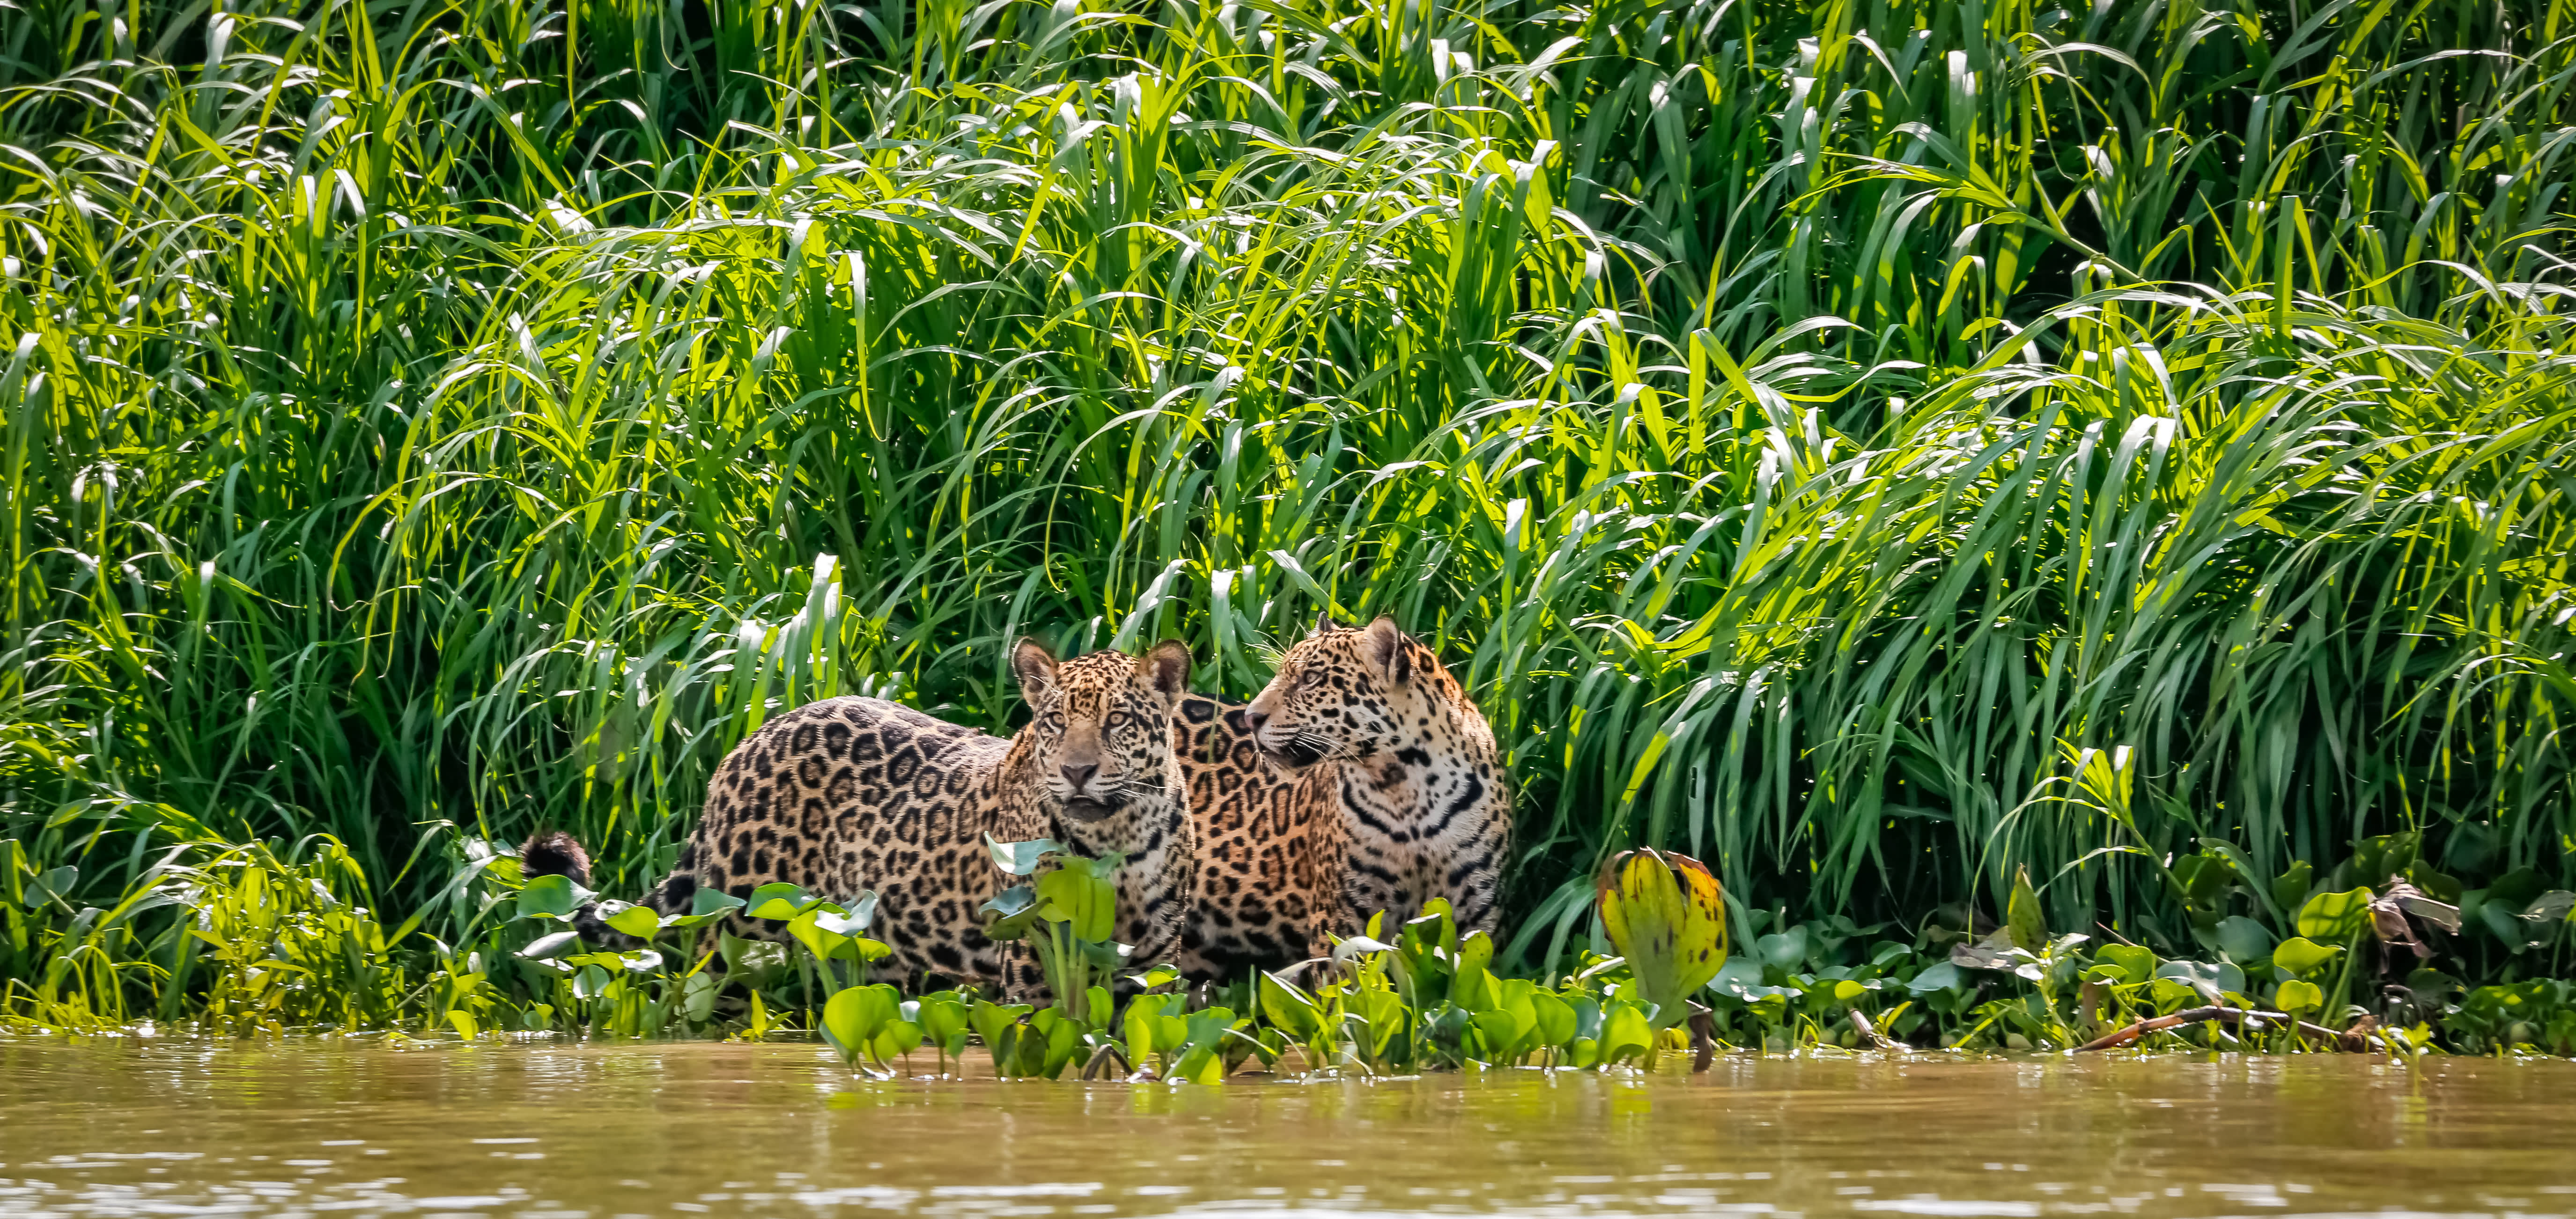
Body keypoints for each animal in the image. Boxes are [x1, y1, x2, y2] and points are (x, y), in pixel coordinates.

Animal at [521, 639, 1197, 996]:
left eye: (1117, 721)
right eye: (1056, 720)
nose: (1077, 771)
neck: (1115, 839)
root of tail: (750, 739)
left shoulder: (1155, 958)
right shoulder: (1035, 949)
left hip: (870, 942)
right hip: (733, 922)